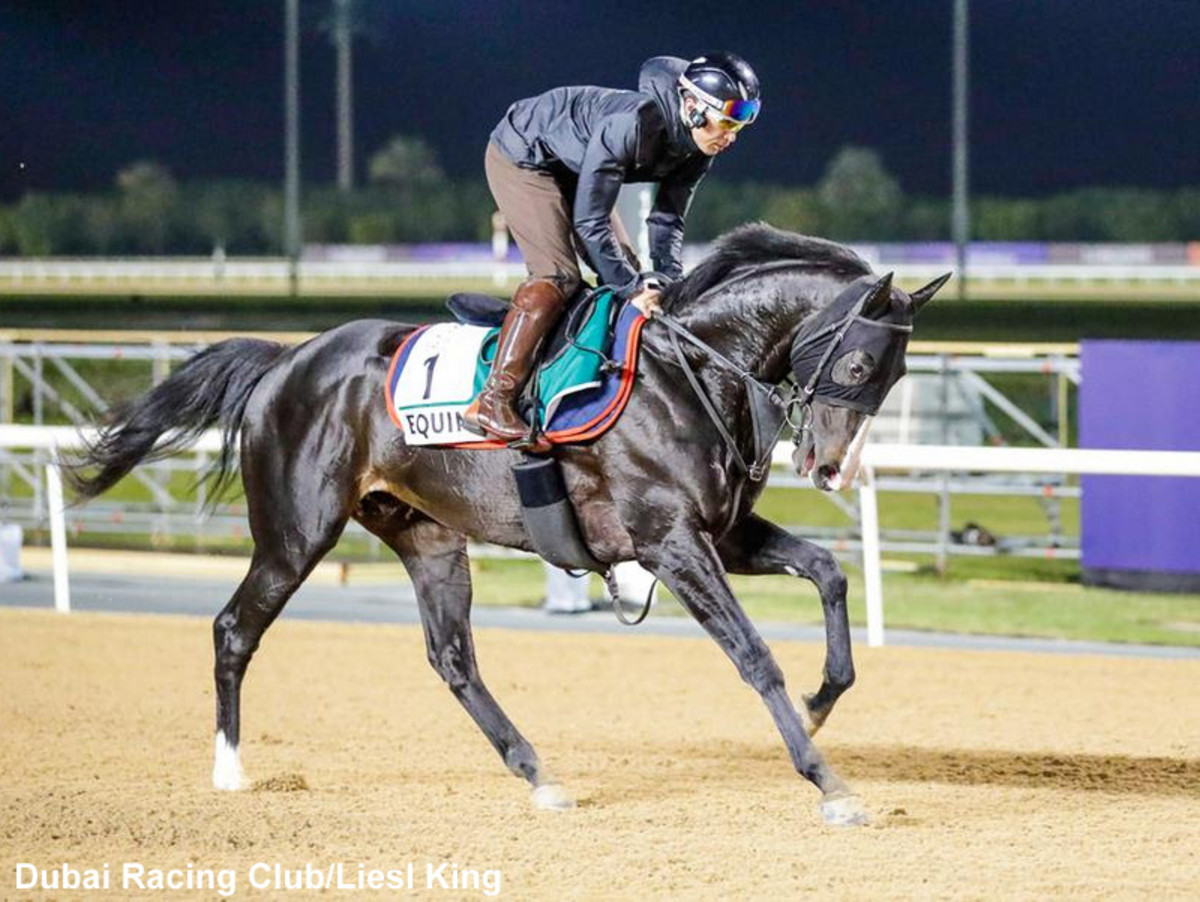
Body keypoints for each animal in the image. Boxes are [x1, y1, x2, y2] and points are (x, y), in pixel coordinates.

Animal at [65, 223, 946, 826]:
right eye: (860, 363)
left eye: (896, 374)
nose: (830, 468)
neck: (687, 369)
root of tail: (286, 361)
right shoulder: (670, 542)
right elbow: (754, 656)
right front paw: (829, 782)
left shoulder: (719, 534)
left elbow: (828, 571)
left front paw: (823, 698)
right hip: (295, 532)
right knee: (233, 629)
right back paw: (229, 771)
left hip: (426, 536)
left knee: (452, 658)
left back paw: (538, 773)